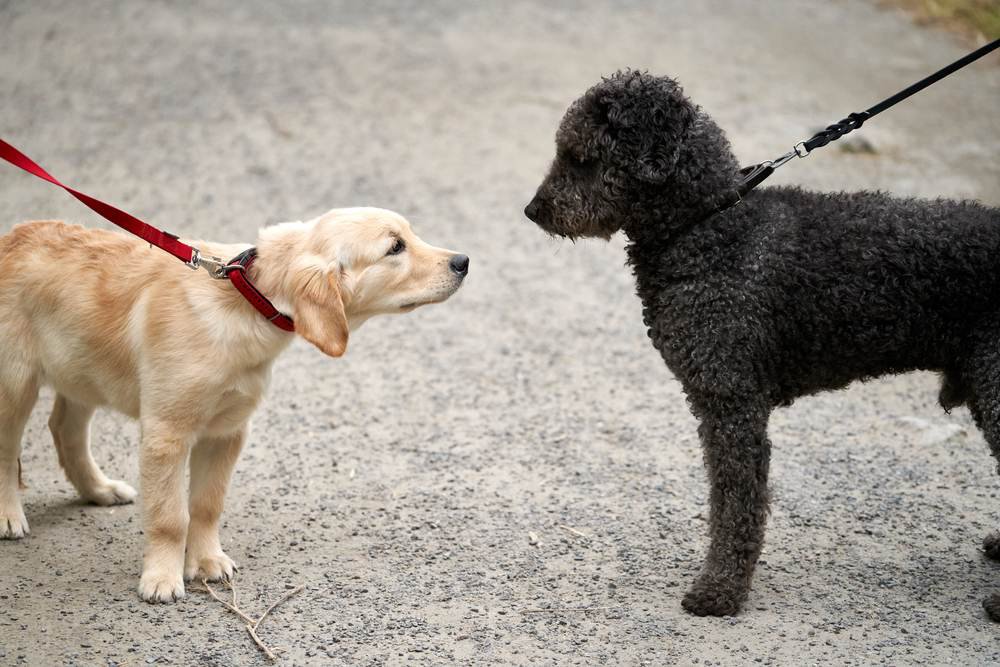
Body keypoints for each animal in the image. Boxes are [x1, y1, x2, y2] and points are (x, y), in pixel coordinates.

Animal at [0, 206, 468, 604]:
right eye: (395, 248)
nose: (463, 261)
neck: (246, 299)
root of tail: (11, 236)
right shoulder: (166, 434)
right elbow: (171, 515)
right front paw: (162, 578)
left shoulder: (227, 431)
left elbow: (206, 505)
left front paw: (206, 561)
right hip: (15, 383)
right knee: (8, 451)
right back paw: (8, 516)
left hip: (82, 370)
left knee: (65, 429)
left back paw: (99, 489)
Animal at [524, 70, 1000, 620]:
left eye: (580, 157)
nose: (532, 211)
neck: (709, 226)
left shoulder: (733, 403)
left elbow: (736, 505)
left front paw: (720, 590)